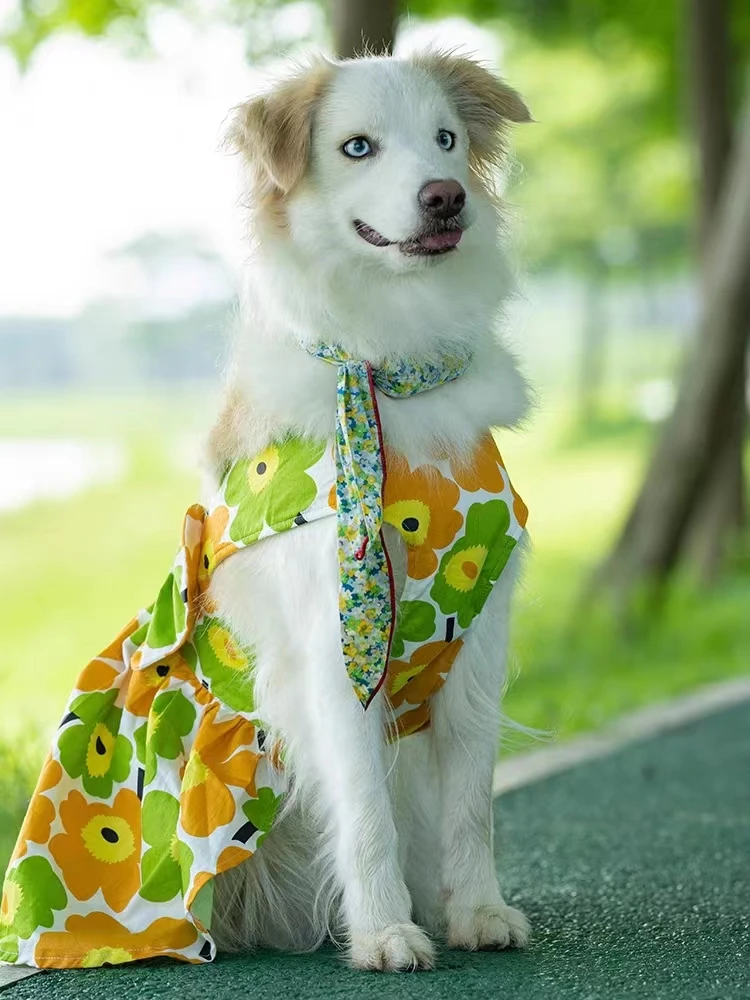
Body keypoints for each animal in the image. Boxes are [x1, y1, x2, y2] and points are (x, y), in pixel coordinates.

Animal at [206, 47, 536, 968]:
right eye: (358, 147)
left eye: (446, 139)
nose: (445, 195)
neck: (389, 368)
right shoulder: (335, 654)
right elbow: (365, 811)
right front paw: (386, 931)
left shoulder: (479, 639)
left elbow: (471, 804)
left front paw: (477, 912)